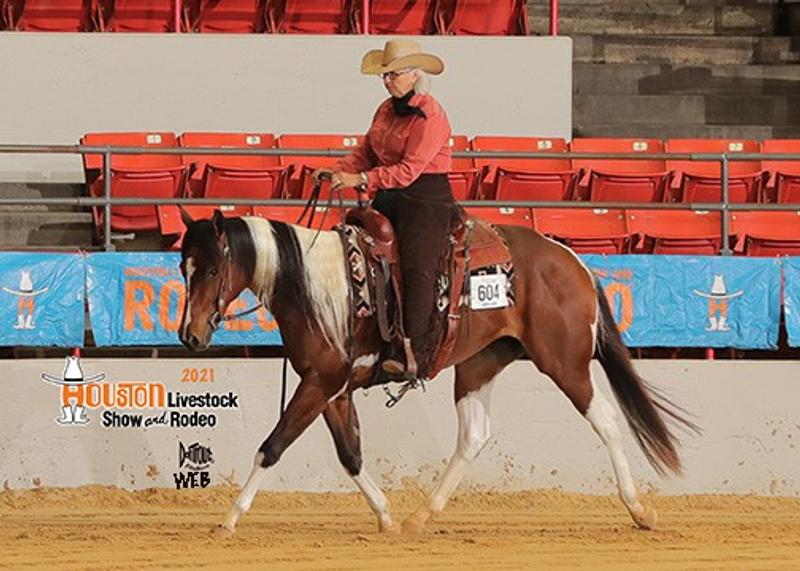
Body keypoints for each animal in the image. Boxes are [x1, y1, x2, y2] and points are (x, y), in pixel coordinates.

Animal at [178, 208, 695, 536]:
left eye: (211, 270)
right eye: (184, 267)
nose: (190, 335)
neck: (311, 285)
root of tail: (575, 263)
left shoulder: (320, 383)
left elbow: (272, 447)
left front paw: (230, 518)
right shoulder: (333, 388)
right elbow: (351, 455)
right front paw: (387, 517)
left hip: (566, 363)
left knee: (605, 420)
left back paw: (639, 510)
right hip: (480, 363)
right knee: (473, 436)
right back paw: (422, 516)